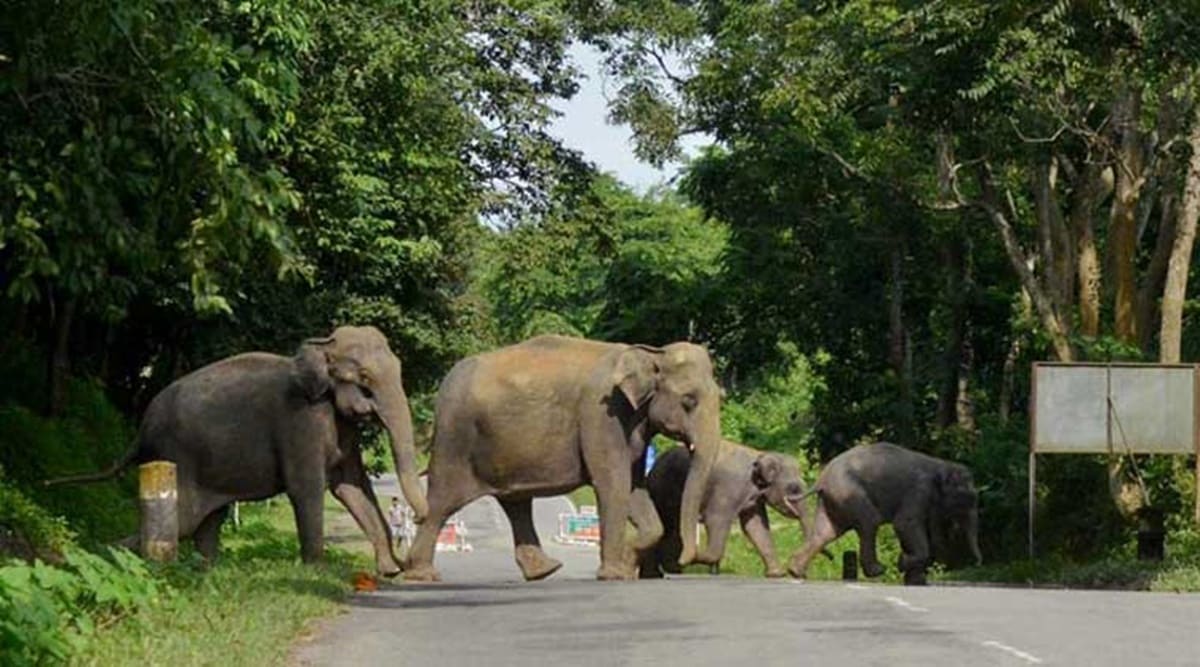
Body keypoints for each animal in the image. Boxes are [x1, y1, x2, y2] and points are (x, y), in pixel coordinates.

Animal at [44, 326, 424, 575]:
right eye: (364, 380)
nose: (407, 563)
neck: (321, 346)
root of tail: (140, 430)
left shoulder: (340, 428)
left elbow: (353, 485)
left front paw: (388, 572)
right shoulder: (299, 421)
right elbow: (307, 489)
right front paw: (318, 572)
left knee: (208, 520)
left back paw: (207, 572)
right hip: (175, 456)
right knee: (184, 520)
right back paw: (83, 559)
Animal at [403, 335, 720, 580]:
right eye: (689, 401)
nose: (683, 561)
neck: (651, 352)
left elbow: (633, 486)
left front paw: (628, 564)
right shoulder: (601, 415)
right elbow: (613, 484)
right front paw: (615, 574)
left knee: (515, 502)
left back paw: (544, 571)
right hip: (455, 437)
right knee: (443, 501)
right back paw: (422, 575)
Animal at [638, 436, 816, 578]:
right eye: (794, 489)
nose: (799, 574)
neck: (760, 454)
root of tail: (652, 468)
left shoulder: (753, 499)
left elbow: (756, 527)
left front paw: (777, 574)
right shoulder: (727, 488)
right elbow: (716, 520)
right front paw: (696, 557)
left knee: (671, 527)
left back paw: (668, 570)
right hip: (661, 489)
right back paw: (661, 572)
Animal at [787, 443, 984, 583]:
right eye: (967, 498)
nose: (978, 563)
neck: (941, 464)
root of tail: (821, 479)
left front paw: (914, 578)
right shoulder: (919, 490)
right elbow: (905, 523)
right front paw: (901, 563)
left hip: (833, 500)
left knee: (826, 533)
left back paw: (795, 572)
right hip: (848, 492)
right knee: (869, 521)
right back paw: (878, 571)